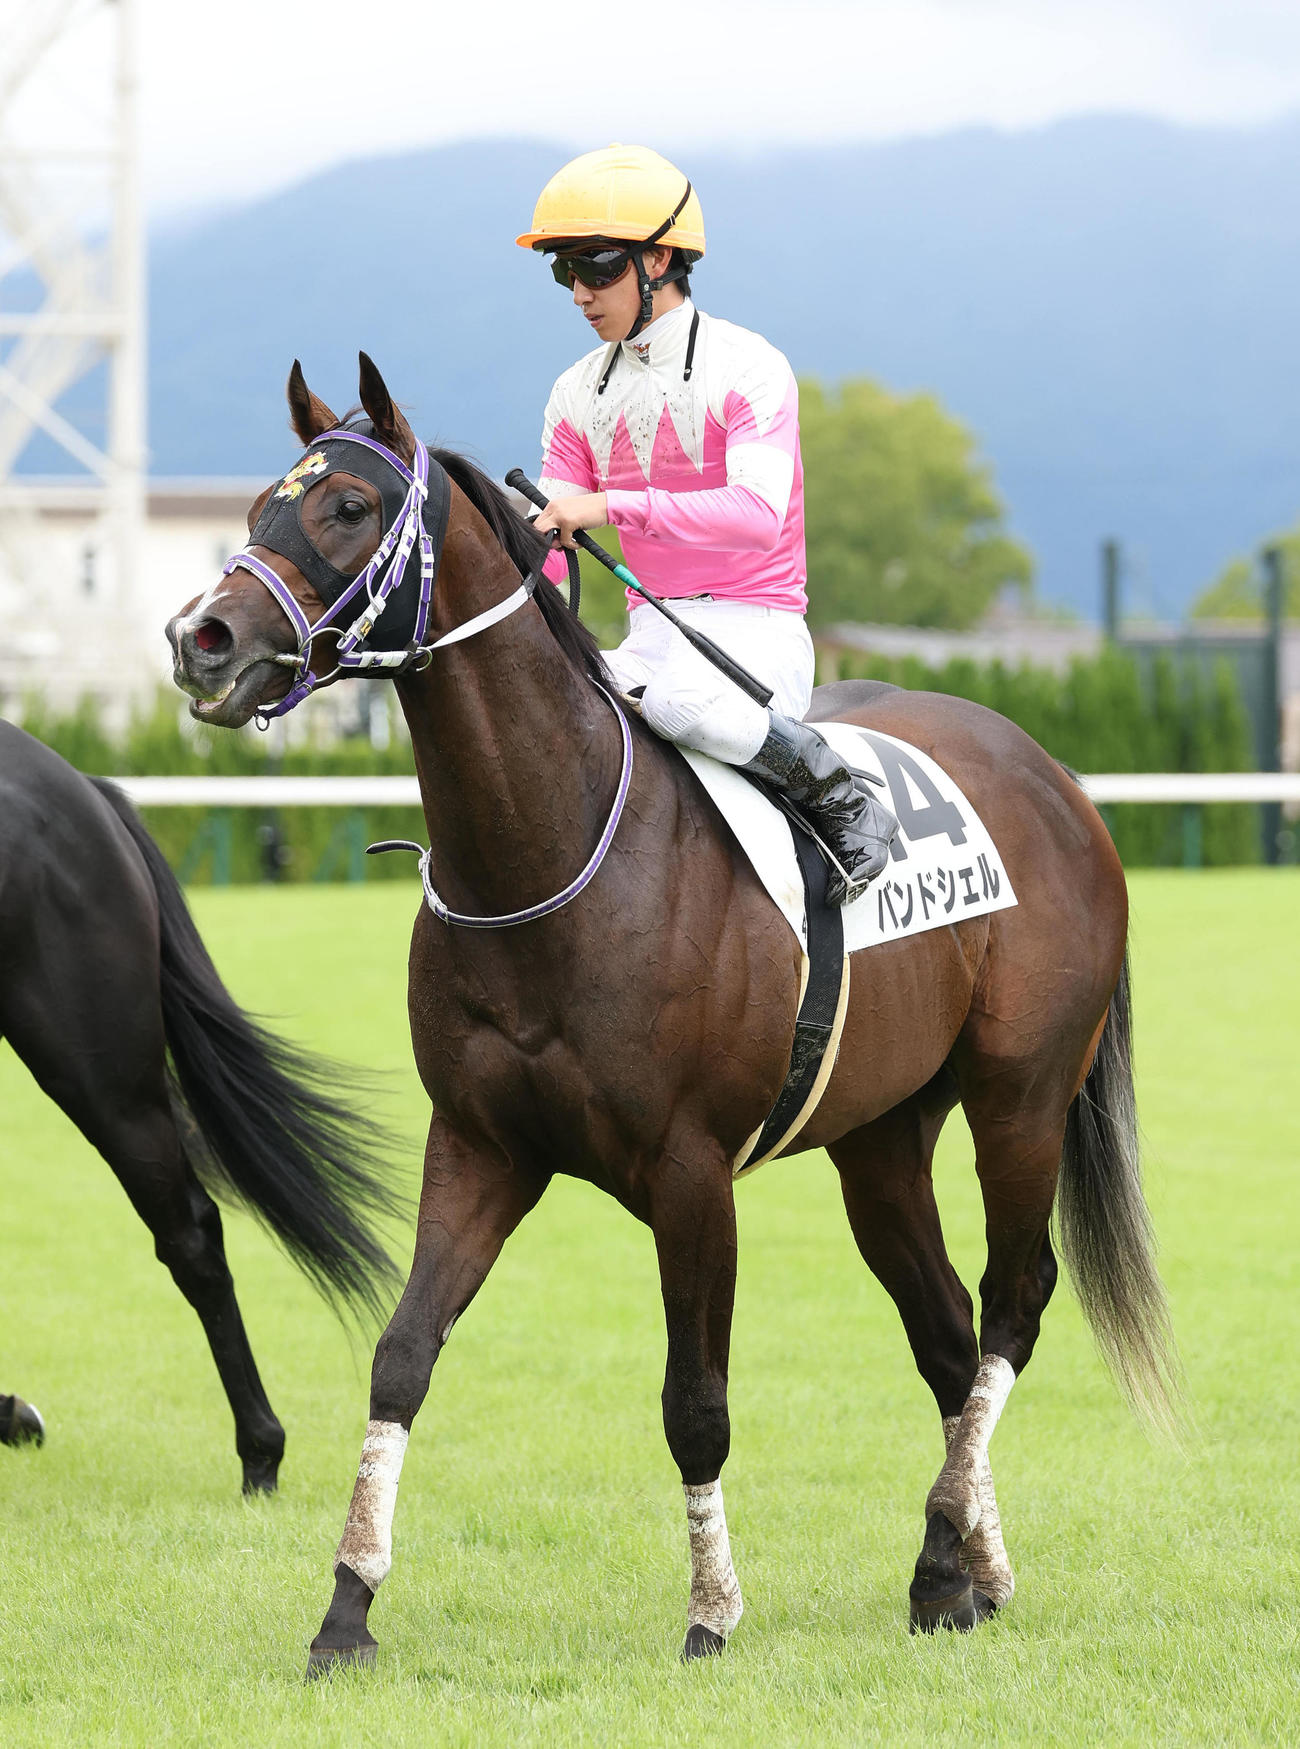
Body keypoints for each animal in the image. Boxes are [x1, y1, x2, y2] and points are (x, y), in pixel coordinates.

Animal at [166, 355, 1178, 1670]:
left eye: (345, 505)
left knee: (1012, 1304)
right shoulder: (480, 1146)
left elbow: (694, 1404)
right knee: (948, 1335)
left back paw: (946, 1545)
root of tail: (1054, 778)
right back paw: (962, 1570)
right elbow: (401, 1357)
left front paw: (710, 1612)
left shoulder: (692, 1173)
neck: (549, 855)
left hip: (1020, 1098)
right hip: (880, 1137)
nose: (201, 637)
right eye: (254, 507)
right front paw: (347, 1608)